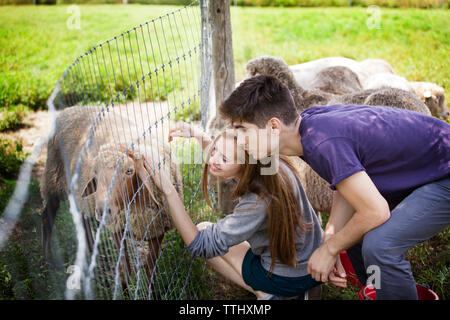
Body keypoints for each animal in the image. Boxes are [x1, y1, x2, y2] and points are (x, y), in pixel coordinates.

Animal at [40, 104, 183, 288]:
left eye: (129, 171)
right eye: (95, 173)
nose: (102, 211)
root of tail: (67, 109)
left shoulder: (156, 229)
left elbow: (150, 268)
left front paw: (153, 289)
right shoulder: (117, 226)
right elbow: (124, 269)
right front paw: (124, 286)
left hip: (77, 194)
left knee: (82, 219)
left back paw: (91, 252)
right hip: (53, 180)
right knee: (46, 217)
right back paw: (47, 262)